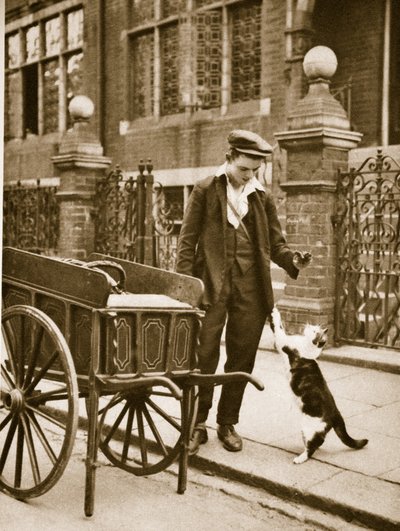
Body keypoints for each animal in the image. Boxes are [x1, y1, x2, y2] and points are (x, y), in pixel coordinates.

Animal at [270, 308, 368, 466]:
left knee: (313, 446)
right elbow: (281, 328)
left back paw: (300, 458)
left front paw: (275, 311)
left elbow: (279, 327)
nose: (309, 325)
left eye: (315, 331)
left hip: (309, 427)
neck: (310, 349)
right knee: (317, 443)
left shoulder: (283, 342)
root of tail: (336, 413)